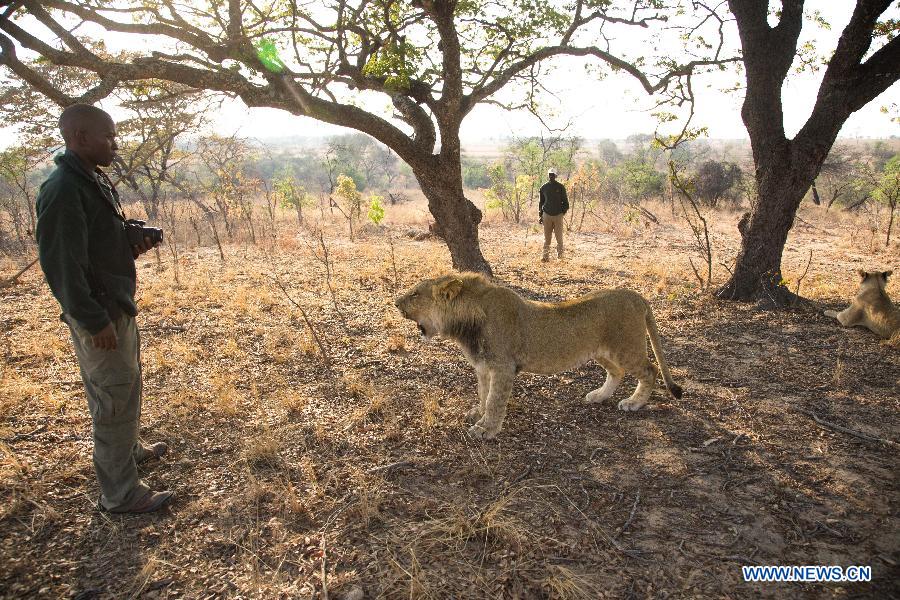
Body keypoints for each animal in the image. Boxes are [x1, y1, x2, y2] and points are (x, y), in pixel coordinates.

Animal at [394, 274, 684, 438]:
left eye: (415, 293)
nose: (395, 302)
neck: (465, 325)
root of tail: (637, 296)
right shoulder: (484, 368)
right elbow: (484, 394)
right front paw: (479, 413)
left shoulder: (503, 367)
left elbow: (495, 401)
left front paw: (486, 429)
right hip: (600, 351)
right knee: (617, 372)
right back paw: (599, 396)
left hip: (626, 348)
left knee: (650, 371)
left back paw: (634, 403)